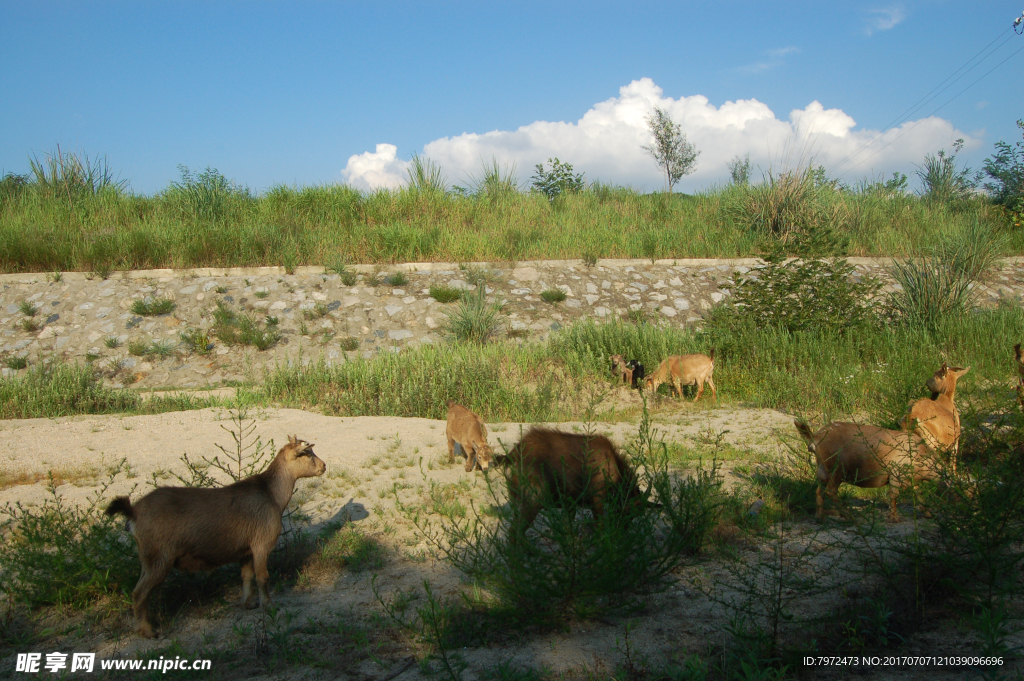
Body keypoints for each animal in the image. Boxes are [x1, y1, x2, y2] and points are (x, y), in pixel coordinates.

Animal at [103, 432, 323, 634]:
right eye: (308, 454)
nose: (324, 466)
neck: (271, 494)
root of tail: (133, 512)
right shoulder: (261, 543)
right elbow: (263, 576)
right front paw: (268, 605)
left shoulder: (245, 549)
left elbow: (246, 576)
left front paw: (248, 603)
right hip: (160, 556)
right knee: (140, 593)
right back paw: (147, 631)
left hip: (147, 558)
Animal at [489, 426, 647, 532]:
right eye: (628, 511)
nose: (620, 530)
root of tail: (514, 453)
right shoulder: (597, 498)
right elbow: (599, 526)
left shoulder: (570, 503)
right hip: (533, 499)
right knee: (515, 532)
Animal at [794, 413, 937, 520]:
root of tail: (816, 437)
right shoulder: (896, 473)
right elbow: (894, 495)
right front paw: (894, 518)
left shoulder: (912, 480)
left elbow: (918, 494)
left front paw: (928, 513)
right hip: (837, 470)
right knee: (831, 491)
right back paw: (848, 516)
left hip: (823, 471)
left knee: (820, 491)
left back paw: (820, 517)